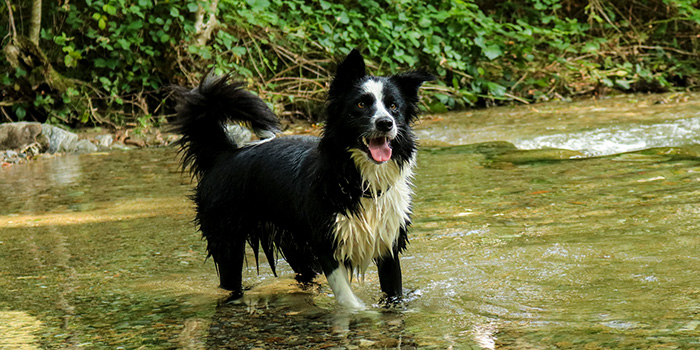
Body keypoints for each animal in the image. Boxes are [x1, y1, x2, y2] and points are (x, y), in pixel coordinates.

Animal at [171, 50, 432, 308]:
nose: (386, 123)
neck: (358, 182)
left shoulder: (388, 246)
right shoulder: (326, 243)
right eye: (361, 104)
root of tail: (224, 153)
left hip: (294, 245)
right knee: (231, 282)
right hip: (228, 242)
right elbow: (348, 299)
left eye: (393, 106)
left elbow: (393, 294)